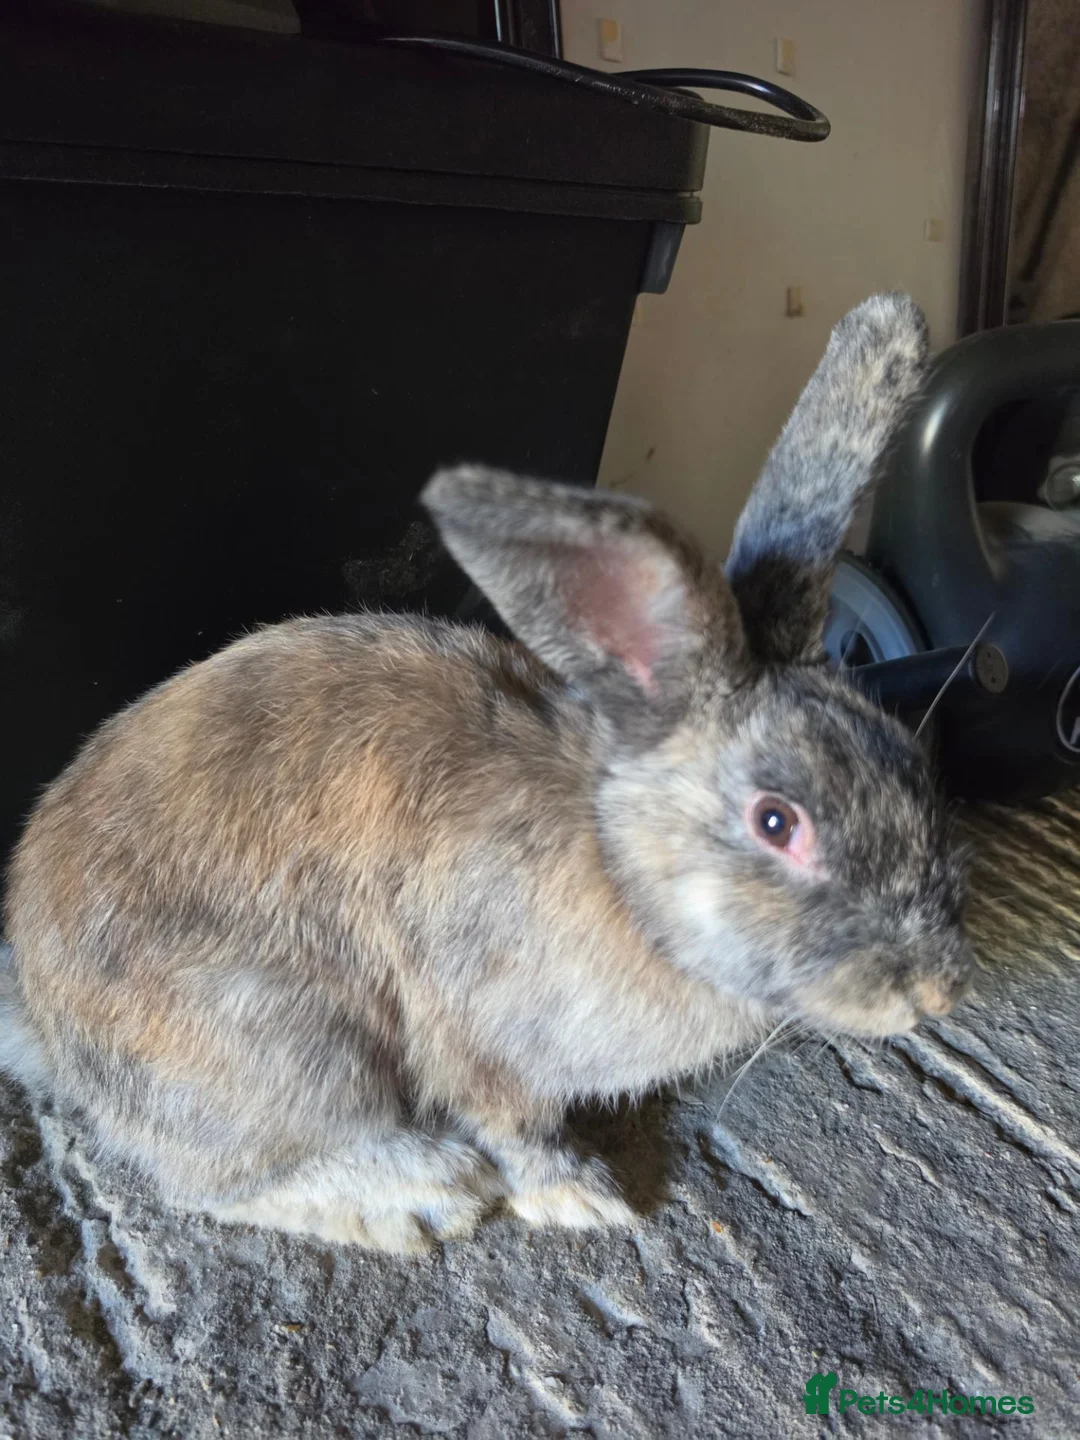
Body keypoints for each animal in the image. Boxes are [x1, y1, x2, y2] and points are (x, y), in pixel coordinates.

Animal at [1, 293, 972, 1253]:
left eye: (908, 760)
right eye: (777, 822)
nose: (935, 993)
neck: (620, 872)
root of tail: (44, 1022)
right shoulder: (483, 1044)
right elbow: (516, 1128)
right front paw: (583, 1196)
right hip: (289, 1044)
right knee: (218, 1182)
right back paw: (422, 1192)